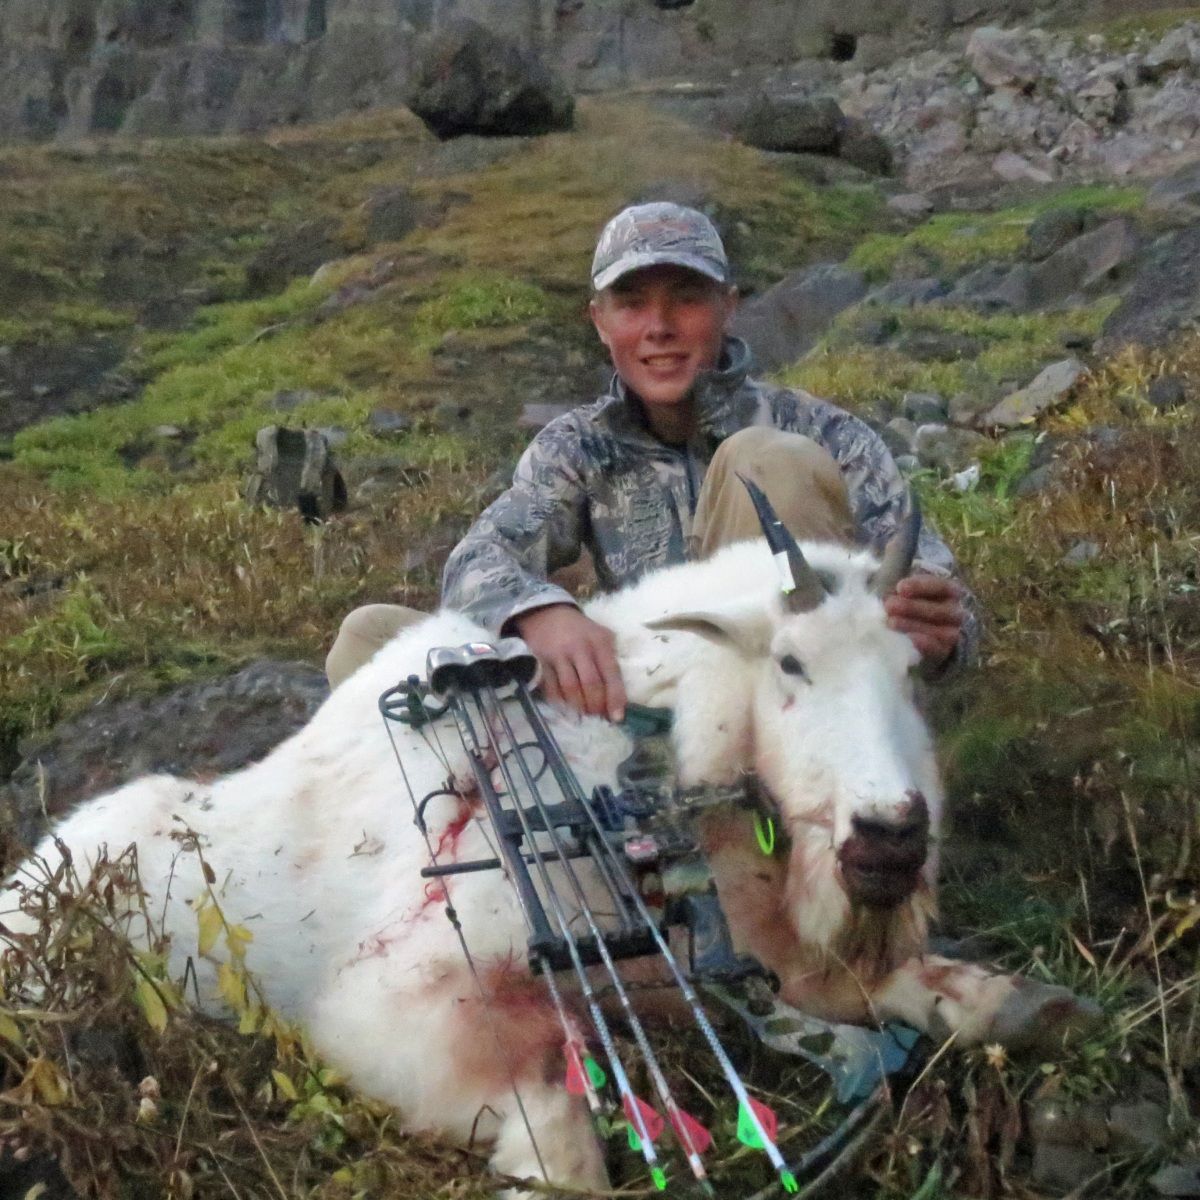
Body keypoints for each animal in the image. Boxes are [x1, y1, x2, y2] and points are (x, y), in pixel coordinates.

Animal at [0, 490, 1091, 1194]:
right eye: (789, 663)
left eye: (911, 669)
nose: (889, 842)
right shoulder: (392, 1006)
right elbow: (567, 1143)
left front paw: (1030, 1003)